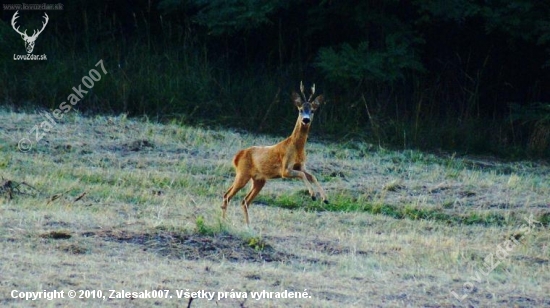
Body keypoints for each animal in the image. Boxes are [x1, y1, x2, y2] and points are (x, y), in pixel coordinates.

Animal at [223, 81, 330, 226]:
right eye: (300, 110)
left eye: (312, 111)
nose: (306, 120)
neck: (295, 148)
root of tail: (237, 156)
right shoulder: (285, 169)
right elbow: (302, 175)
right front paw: (313, 195)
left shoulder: (301, 165)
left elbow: (312, 176)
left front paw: (325, 198)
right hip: (243, 173)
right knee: (227, 196)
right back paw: (223, 221)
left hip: (259, 180)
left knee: (244, 201)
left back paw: (247, 225)